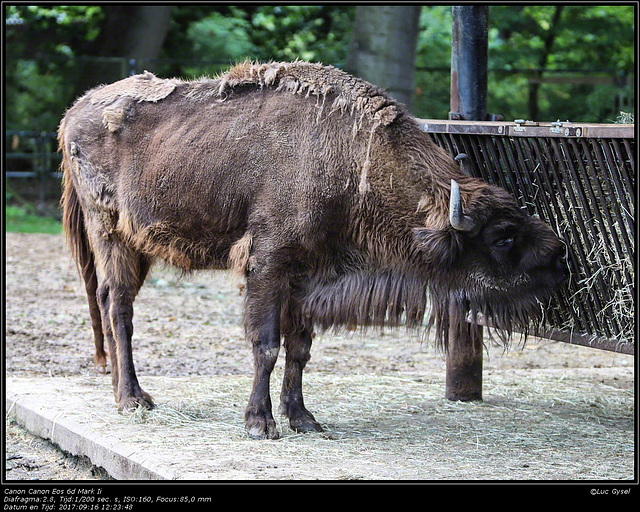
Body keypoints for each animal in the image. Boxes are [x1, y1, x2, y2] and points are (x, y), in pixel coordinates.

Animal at [57, 59, 564, 436]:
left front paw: (303, 419)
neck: (351, 158)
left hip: (137, 245)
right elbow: (266, 343)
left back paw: (123, 393)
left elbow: (299, 349)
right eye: (502, 236)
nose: (558, 257)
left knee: (106, 301)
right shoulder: (267, 264)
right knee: (118, 308)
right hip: (110, 234)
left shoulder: (307, 276)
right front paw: (260, 423)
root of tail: (73, 112)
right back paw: (133, 400)